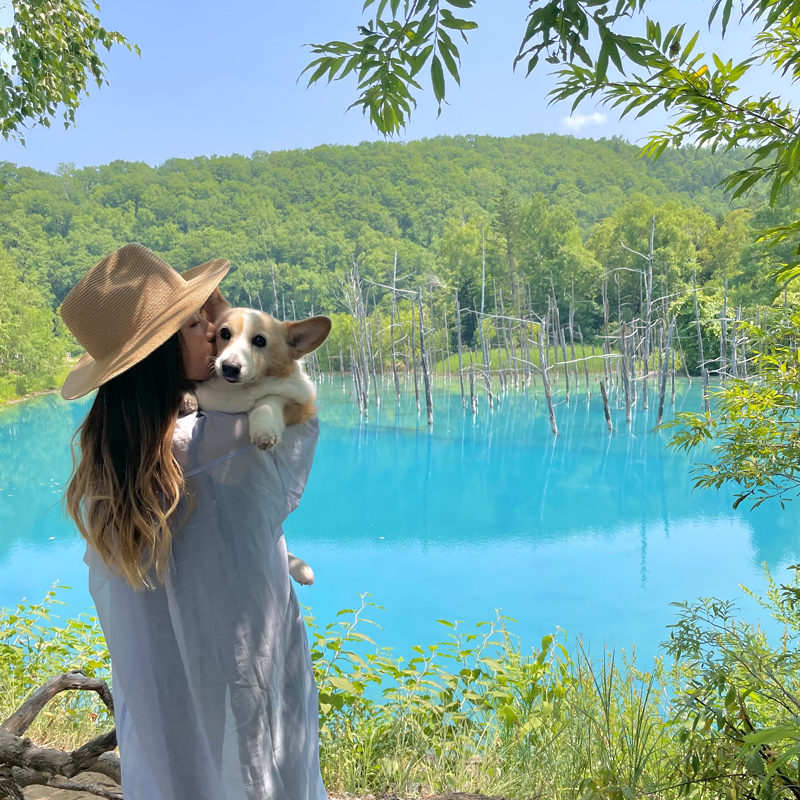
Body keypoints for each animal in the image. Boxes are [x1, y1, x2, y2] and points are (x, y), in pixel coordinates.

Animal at [191, 290, 332, 588]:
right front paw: (186, 399)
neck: (238, 392)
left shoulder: (297, 401)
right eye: (224, 333)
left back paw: (299, 567)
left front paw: (264, 431)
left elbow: (267, 400)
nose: (229, 367)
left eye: (259, 341)